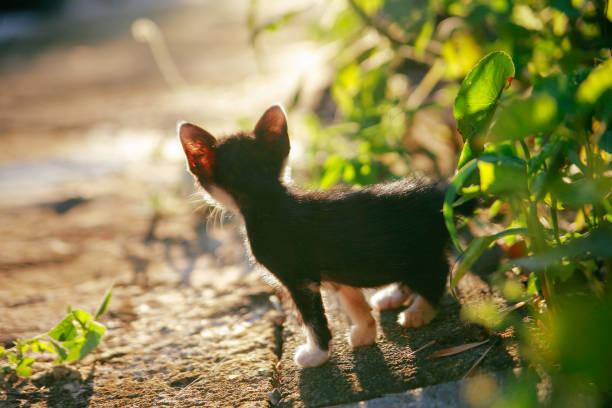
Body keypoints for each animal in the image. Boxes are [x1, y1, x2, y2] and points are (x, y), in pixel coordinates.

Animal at [179, 107, 466, 368]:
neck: (267, 201)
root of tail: (439, 195)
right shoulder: (335, 269)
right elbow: (351, 299)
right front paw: (365, 331)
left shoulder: (299, 280)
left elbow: (313, 319)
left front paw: (315, 354)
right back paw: (392, 296)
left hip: (417, 248)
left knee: (437, 272)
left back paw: (419, 311)